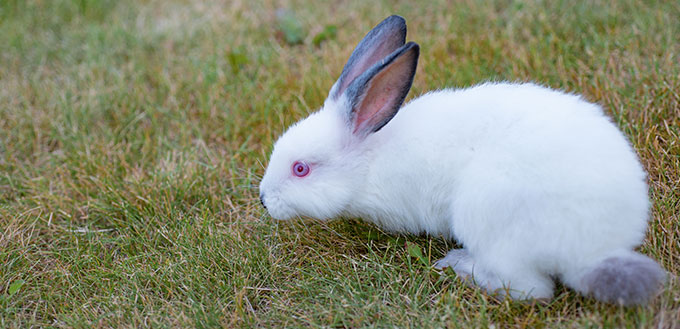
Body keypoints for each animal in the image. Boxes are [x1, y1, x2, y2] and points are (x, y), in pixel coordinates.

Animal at [258, 16, 664, 304]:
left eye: (300, 169)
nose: (263, 199)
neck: (370, 155)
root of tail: (596, 251)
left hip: (488, 220)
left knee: (531, 291)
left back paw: (459, 266)